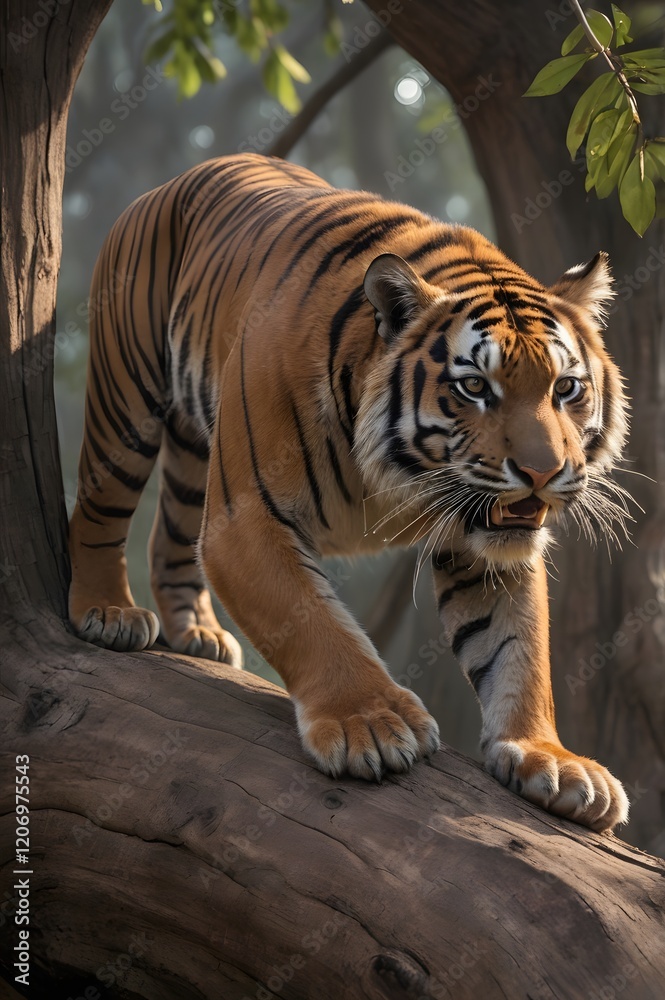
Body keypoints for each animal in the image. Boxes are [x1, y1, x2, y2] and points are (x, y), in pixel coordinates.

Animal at [68, 153, 631, 832]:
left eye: (565, 388)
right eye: (474, 387)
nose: (544, 472)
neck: (398, 474)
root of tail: (179, 178)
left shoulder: (485, 545)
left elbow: (518, 651)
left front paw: (552, 759)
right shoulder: (246, 521)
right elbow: (314, 622)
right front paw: (372, 723)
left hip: (196, 453)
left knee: (171, 534)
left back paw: (197, 633)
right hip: (127, 398)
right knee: (99, 507)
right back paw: (108, 613)